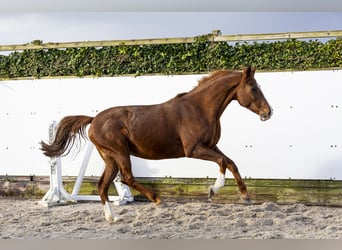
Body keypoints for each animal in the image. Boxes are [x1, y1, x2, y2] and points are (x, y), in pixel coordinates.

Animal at [40, 66, 272, 221]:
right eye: (253, 88)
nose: (268, 112)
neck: (200, 108)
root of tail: (94, 119)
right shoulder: (194, 149)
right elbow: (223, 162)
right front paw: (214, 190)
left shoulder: (210, 146)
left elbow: (230, 162)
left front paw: (244, 196)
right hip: (120, 153)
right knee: (126, 178)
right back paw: (158, 199)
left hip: (110, 158)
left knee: (102, 185)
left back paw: (112, 217)